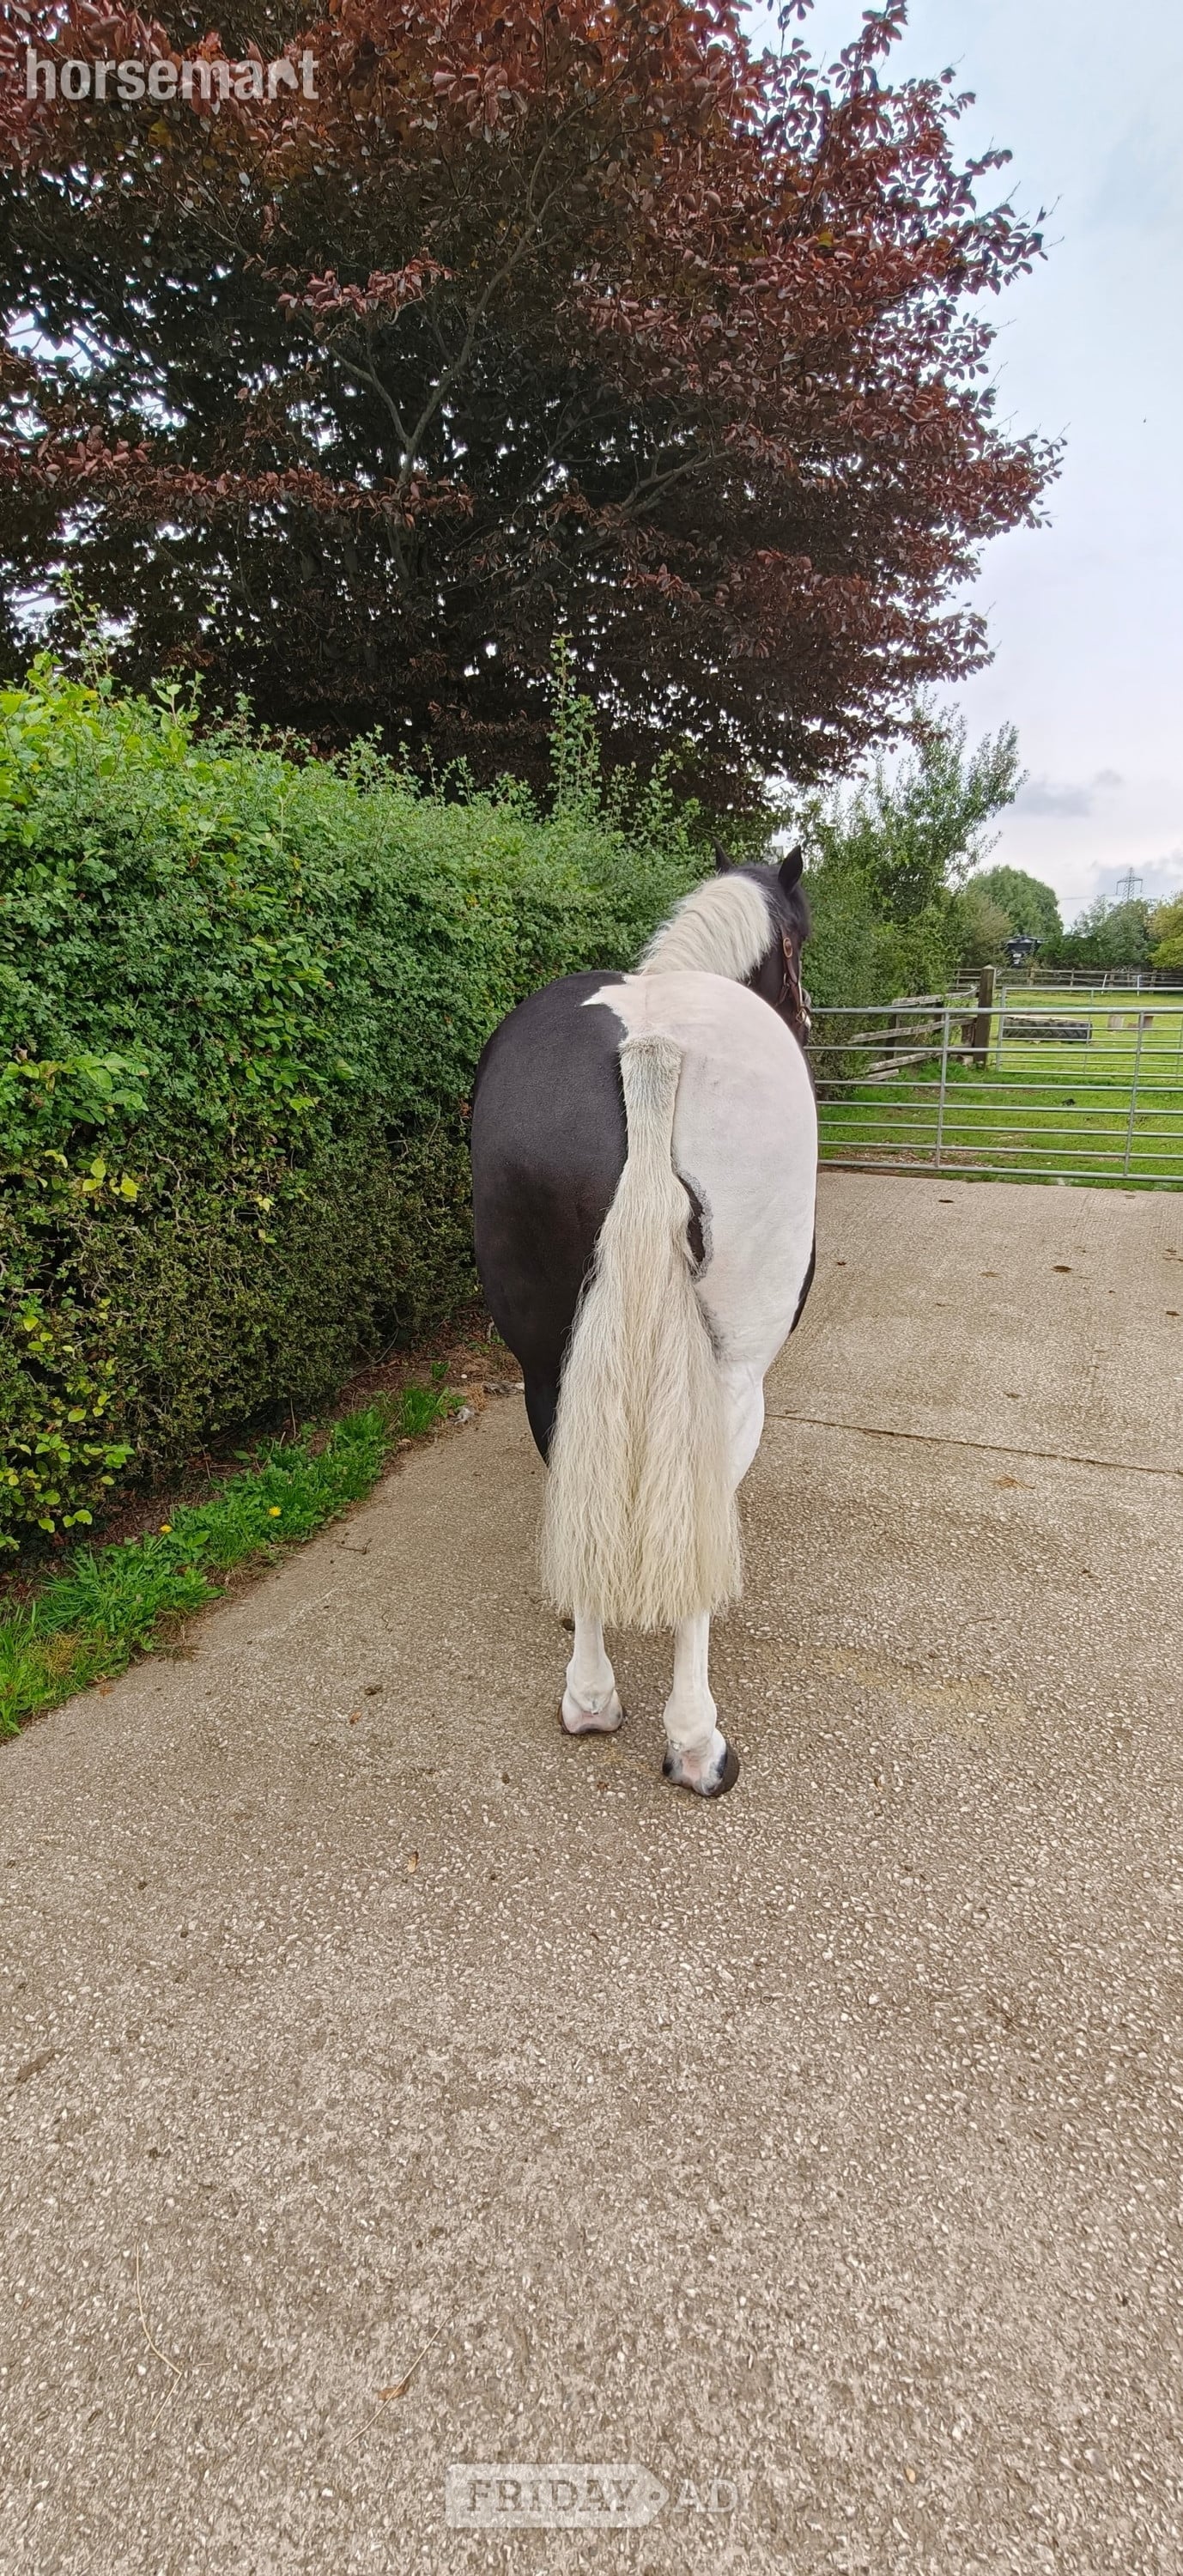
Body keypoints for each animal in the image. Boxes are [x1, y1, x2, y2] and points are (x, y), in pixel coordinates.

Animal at [469, 847, 817, 1799]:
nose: (808, 1015)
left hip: (546, 1365)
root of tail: (647, 1051)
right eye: (798, 947)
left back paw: (589, 1698)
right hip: (730, 1376)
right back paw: (697, 1743)